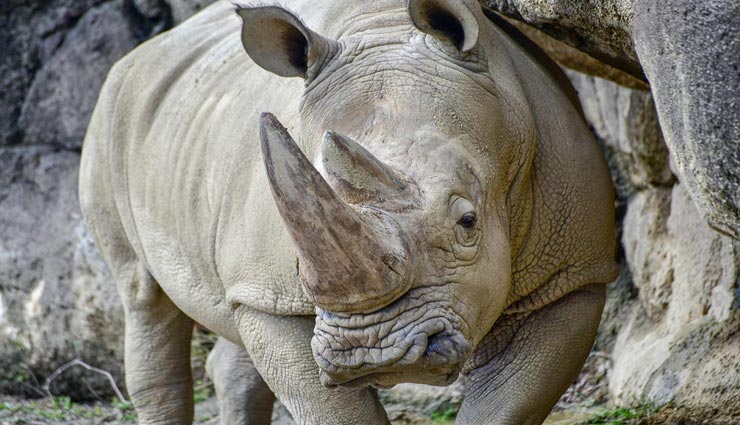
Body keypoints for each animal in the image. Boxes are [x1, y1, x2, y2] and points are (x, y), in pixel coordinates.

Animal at [79, 0, 618, 423]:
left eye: (468, 222)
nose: (371, 352)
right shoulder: (275, 294)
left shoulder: (571, 275)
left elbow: (506, 405)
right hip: (109, 118)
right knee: (142, 295)